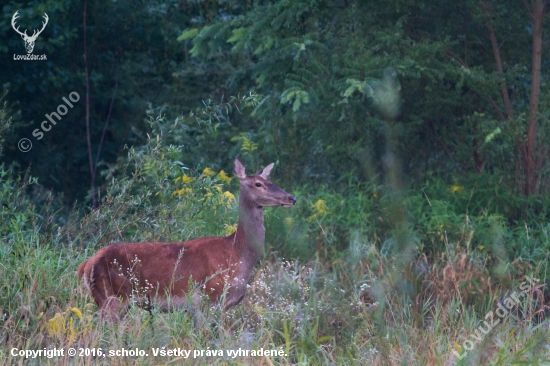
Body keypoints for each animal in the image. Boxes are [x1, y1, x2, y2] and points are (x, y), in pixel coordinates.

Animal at [77, 157, 298, 320]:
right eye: (258, 184)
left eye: (271, 181)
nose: (291, 198)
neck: (238, 254)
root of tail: (87, 265)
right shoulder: (209, 299)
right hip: (113, 297)